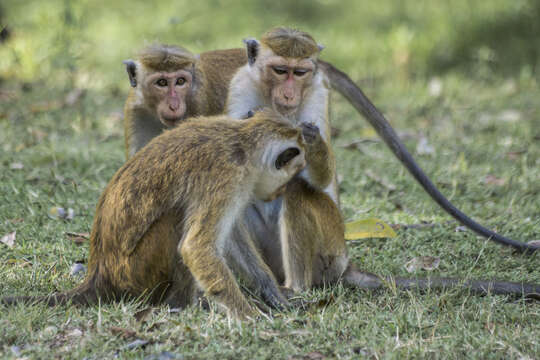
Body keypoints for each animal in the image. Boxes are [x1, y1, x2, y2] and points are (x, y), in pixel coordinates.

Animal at [2, 109, 312, 318]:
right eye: (289, 176)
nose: (277, 194)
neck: (243, 141)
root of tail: (99, 275)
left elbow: (230, 238)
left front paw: (272, 293)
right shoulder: (227, 175)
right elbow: (196, 246)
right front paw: (248, 315)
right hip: (137, 273)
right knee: (176, 221)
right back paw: (181, 304)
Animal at [226, 27, 536, 298]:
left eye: (300, 73)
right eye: (280, 71)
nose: (289, 94)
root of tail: (346, 263)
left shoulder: (317, 93)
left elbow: (320, 178)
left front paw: (310, 139)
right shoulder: (241, 88)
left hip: (330, 249)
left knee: (297, 191)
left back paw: (297, 287)